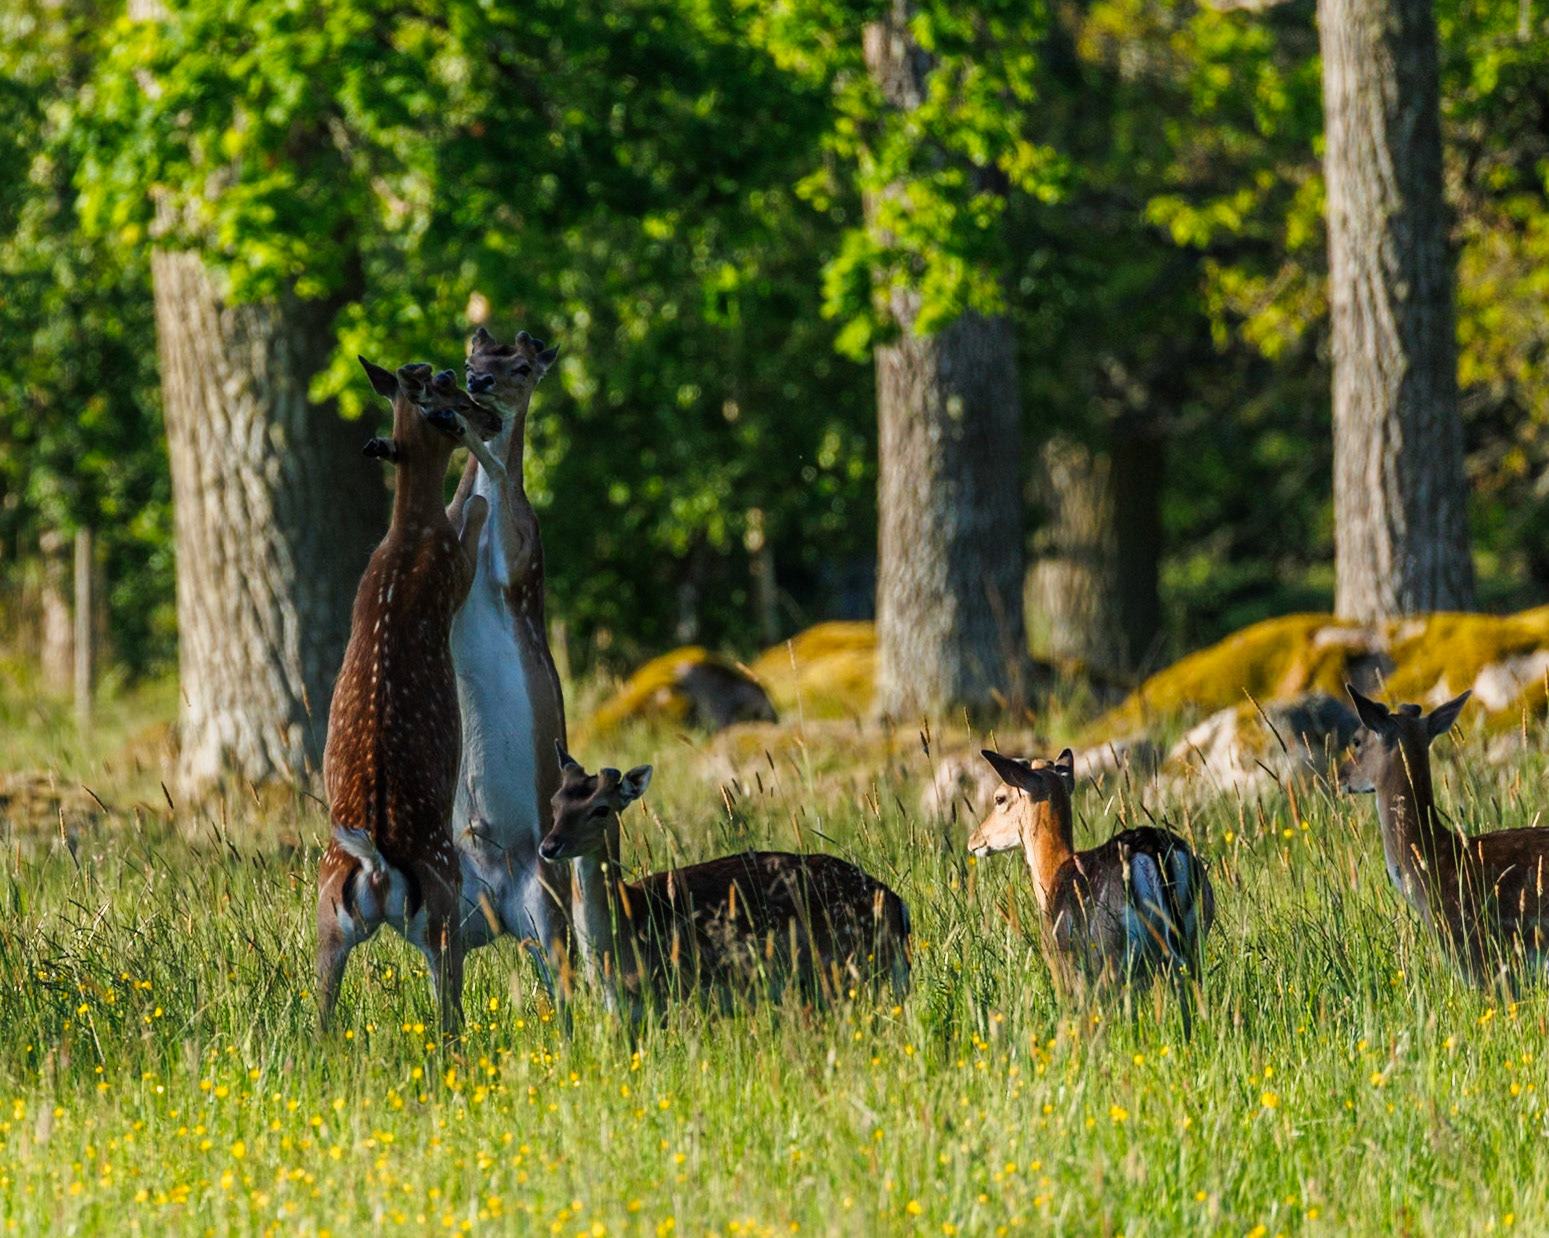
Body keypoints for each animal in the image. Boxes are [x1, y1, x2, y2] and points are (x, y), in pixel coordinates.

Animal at [315, 358, 504, 1036]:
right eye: (449, 386)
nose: (490, 416)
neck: (408, 535)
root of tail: (376, 871)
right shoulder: (453, 568)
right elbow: (470, 515)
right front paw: (478, 494)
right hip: (445, 907)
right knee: (448, 1017)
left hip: (326, 921)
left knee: (320, 1013)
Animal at [536, 744, 911, 1023]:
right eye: (555, 802)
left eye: (601, 809)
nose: (549, 846)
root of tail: (898, 905)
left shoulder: (677, 993)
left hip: (846, 971)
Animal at [971, 749, 1215, 1037]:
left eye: (999, 798)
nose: (974, 839)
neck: (1050, 878)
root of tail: (1155, 849)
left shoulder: (1063, 965)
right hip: (1196, 932)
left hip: (1113, 952)